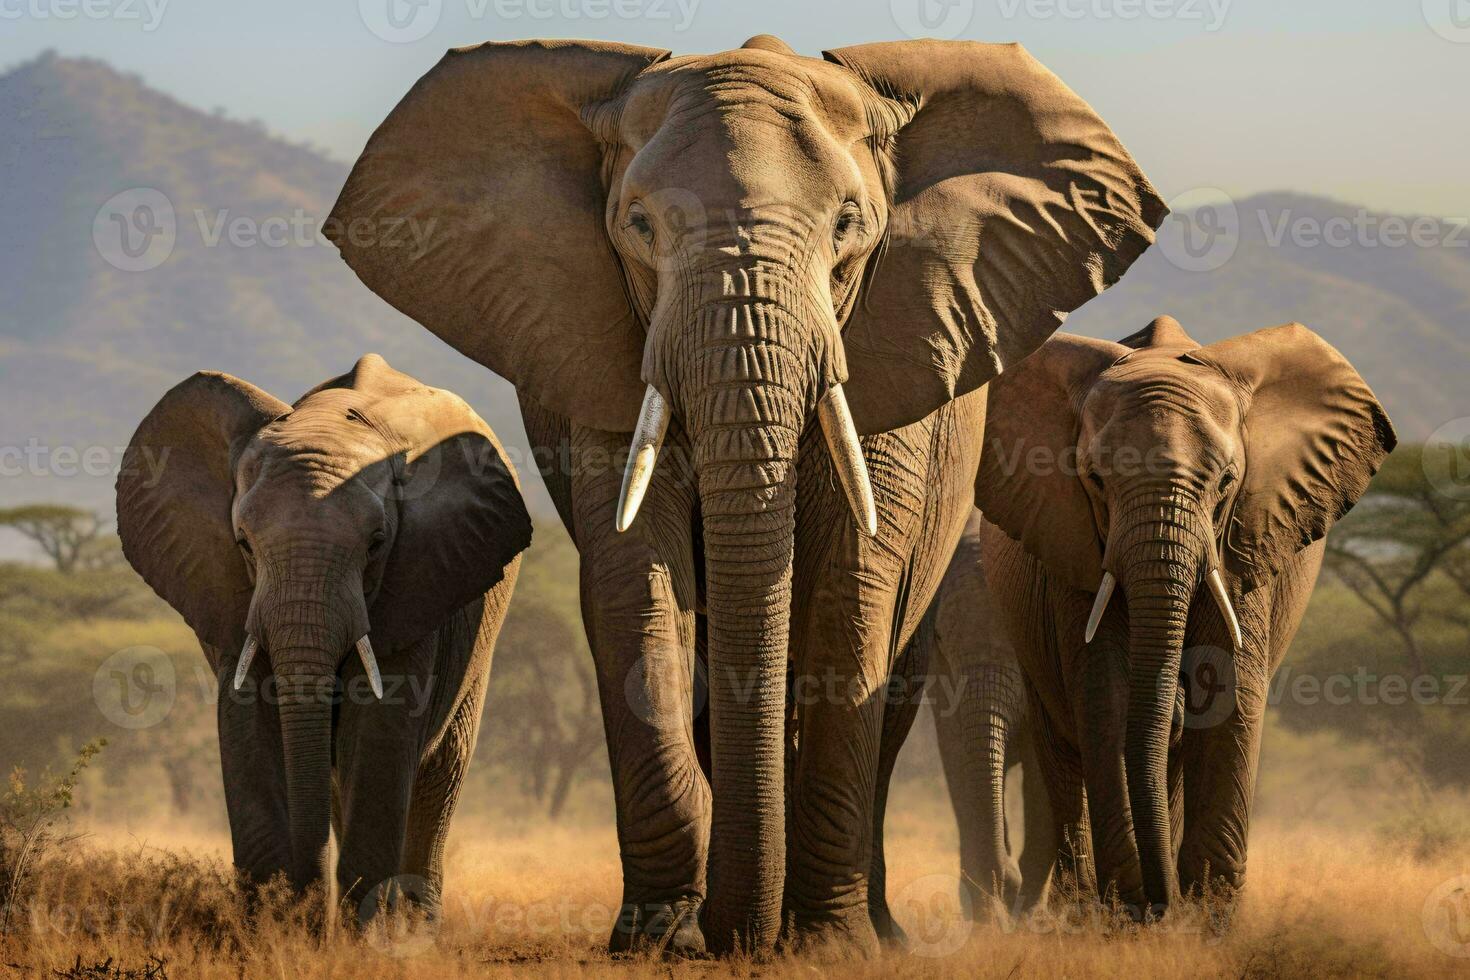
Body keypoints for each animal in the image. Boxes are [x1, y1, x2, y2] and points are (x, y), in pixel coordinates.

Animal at [116, 357, 535, 916]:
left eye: (377, 544)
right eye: (243, 544)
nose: (308, 908)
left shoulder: (421, 576)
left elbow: (383, 727)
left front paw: (353, 931)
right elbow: (246, 721)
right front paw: (274, 925)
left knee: (435, 782)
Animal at [327, 34, 1164, 952]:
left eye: (848, 226)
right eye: (640, 225)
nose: (737, 935)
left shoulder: (896, 341)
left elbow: (853, 576)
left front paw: (827, 943)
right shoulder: (604, 354)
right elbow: (634, 576)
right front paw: (663, 936)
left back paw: (871, 926)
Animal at [970, 318, 1393, 916]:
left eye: (1226, 482)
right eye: (1095, 480)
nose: (1159, 903)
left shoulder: (1246, 540)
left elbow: (1228, 689)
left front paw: (1206, 918)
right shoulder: (1071, 541)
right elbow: (1105, 690)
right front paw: (1129, 910)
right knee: (1064, 749)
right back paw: (1082, 910)